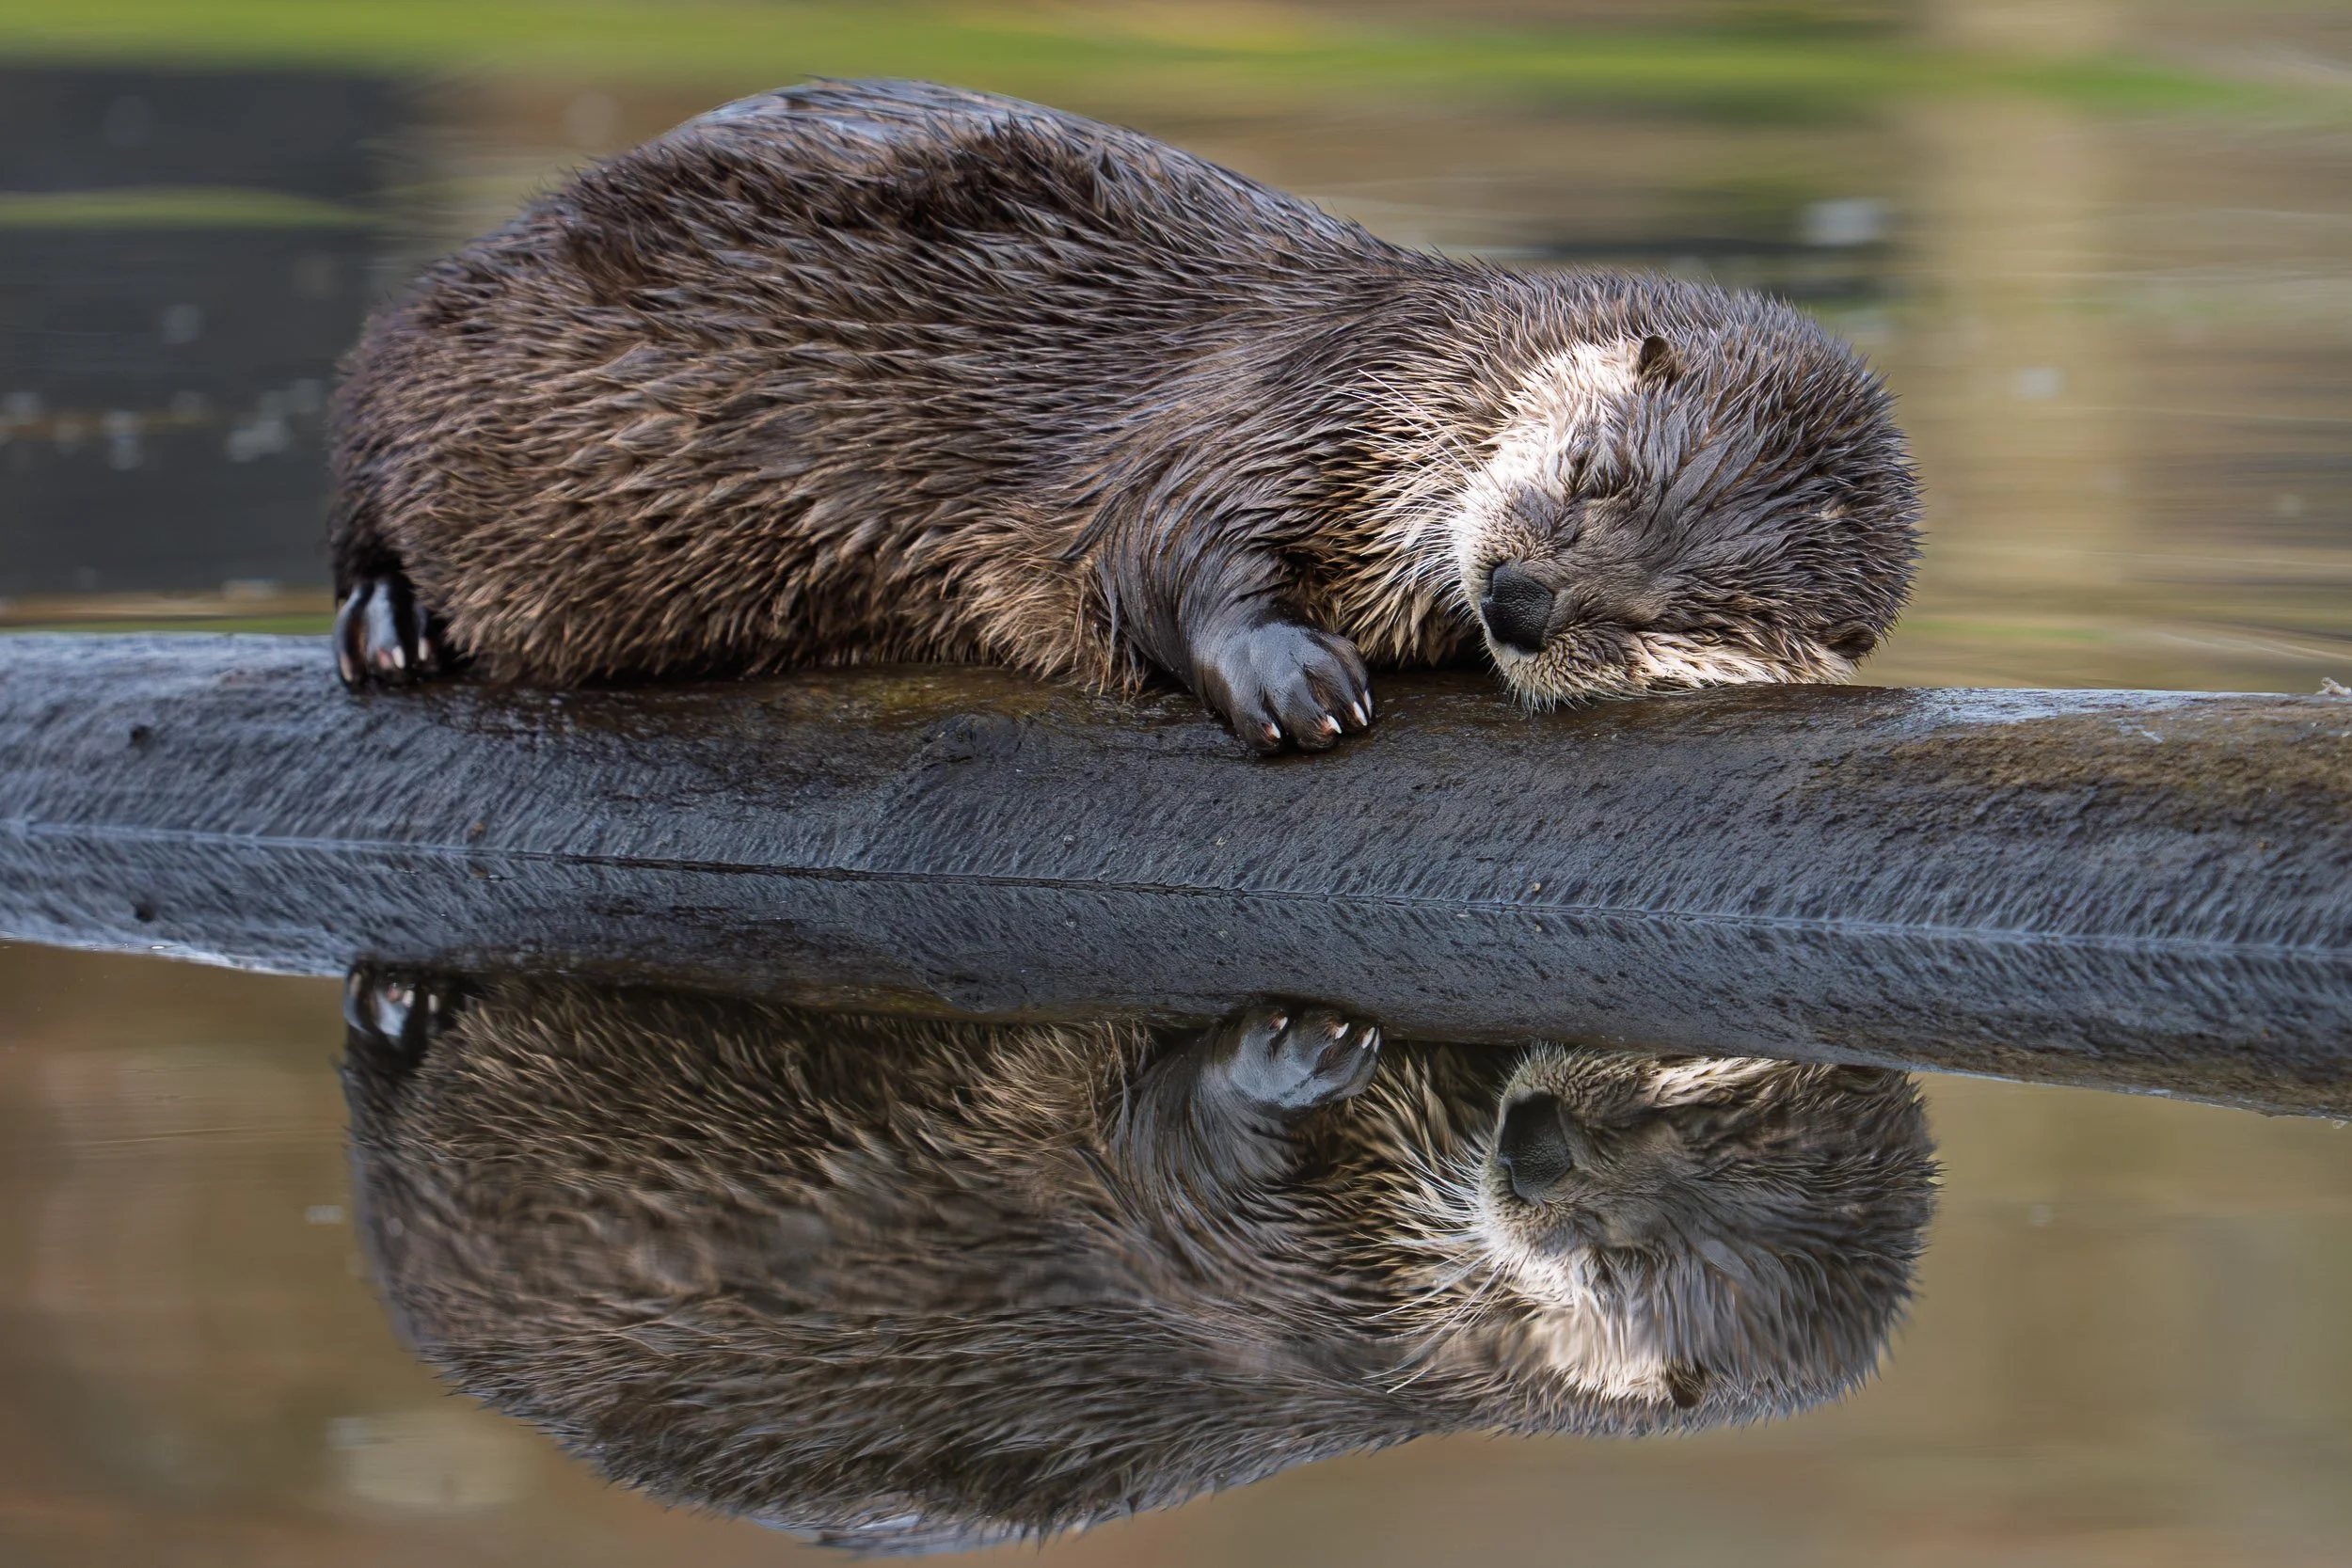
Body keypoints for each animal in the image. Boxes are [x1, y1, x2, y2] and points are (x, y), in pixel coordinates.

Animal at [331, 79, 1919, 752]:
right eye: (1591, 472)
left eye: (1664, 621)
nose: (1522, 601)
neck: (1416, 385)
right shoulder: (1274, 405)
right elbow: (1155, 545)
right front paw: (1293, 675)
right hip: (433, 345)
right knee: (362, 481)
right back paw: (390, 624)